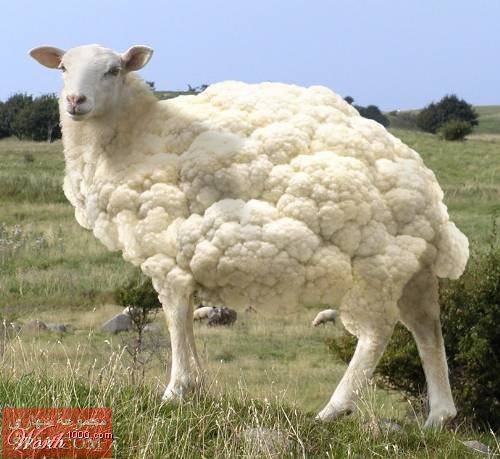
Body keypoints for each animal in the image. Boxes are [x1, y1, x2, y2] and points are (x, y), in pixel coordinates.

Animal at [29, 44, 469, 428]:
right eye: (63, 68)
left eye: (114, 70)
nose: (75, 101)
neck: (136, 134)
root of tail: (429, 199)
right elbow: (185, 319)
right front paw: (196, 386)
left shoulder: (166, 254)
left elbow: (175, 316)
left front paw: (176, 390)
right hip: (408, 263)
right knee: (426, 326)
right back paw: (439, 416)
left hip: (372, 262)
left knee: (377, 333)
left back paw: (334, 410)